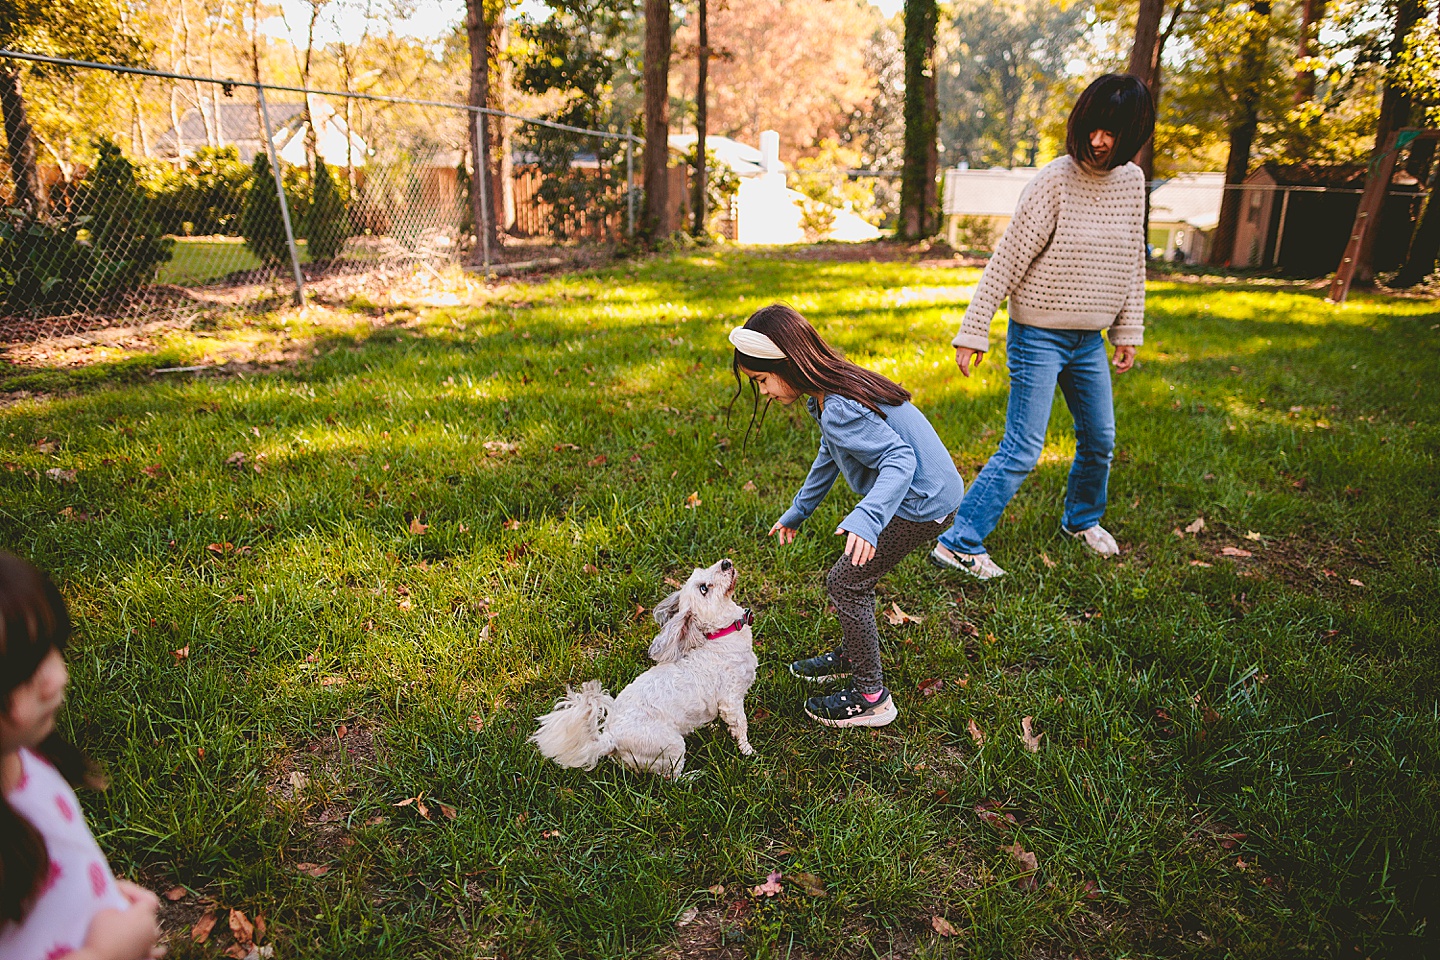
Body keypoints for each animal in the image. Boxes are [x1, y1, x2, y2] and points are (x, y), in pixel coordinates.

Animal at [527, 558, 754, 777]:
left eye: (704, 568)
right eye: (704, 588)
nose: (725, 563)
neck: (720, 636)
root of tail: (611, 738)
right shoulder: (731, 700)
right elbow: (741, 725)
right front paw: (748, 751)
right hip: (671, 747)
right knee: (671, 777)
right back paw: (692, 776)